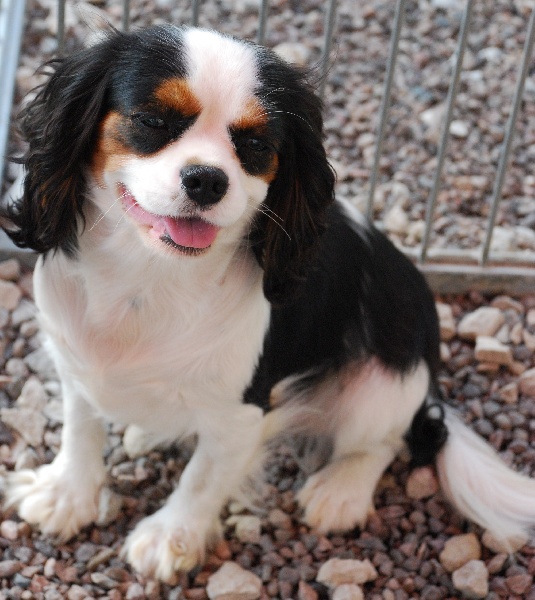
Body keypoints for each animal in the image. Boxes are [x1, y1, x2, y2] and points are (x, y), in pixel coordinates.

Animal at [2, 25, 535, 583]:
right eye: (153, 121)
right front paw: (66, 496)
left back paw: (340, 491)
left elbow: (203, 477)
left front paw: (170, 537)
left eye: (256, 145)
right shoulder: (75, 362)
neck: (149, 274)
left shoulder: (241, 411)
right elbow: (81, 429)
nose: (207, 178)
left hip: (383, 383)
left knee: (386, 440)